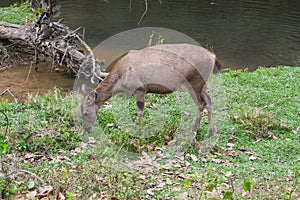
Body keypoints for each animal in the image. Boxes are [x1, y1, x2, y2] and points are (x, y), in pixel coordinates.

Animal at [79, 43, 220, 141]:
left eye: (85, 112)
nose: (87, 129)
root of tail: (213, 56)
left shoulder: (140, 89)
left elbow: (140, 112)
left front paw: (136, 131)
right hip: (202, 83)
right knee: (209, 101)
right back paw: (210, 132)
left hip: (195, 81)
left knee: (201, 103)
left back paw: (194, 133)